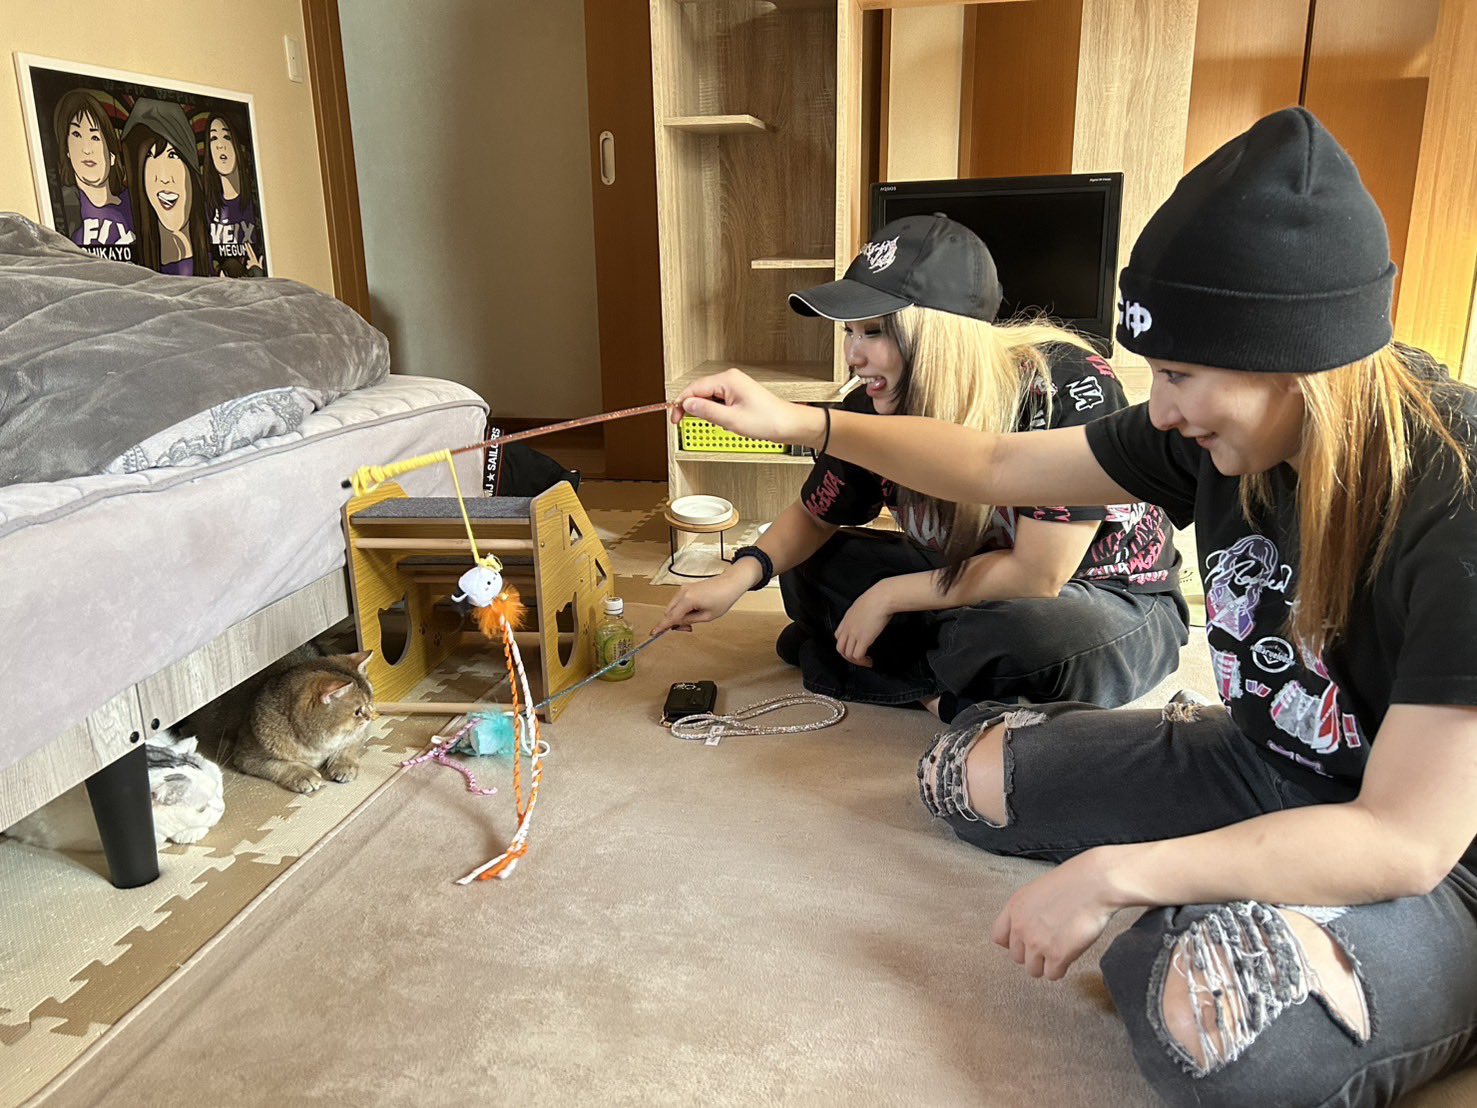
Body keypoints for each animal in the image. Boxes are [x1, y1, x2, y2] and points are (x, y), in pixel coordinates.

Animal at [184, 644, 377, 795]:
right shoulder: (247, 756)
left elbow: (349, 746)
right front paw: (304, 776)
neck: (316, 748)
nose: (371, 715)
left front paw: (344, 765)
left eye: (370, 701)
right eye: (357, 711)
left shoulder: (358, 733)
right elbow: (279, 765)